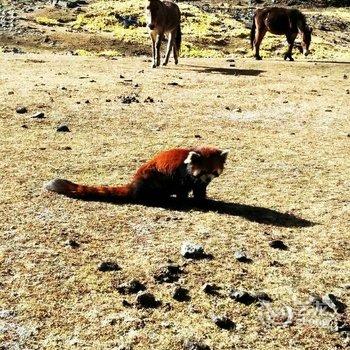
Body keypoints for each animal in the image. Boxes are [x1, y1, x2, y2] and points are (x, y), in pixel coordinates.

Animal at [43, 147, 228, 201]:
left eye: (213, 172)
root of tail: (134, 183)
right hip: (155, 180)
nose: (207, 178)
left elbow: (200, 189)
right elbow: (183, 189)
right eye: (203, 171)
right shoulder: (182, 175)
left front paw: (203, 198)